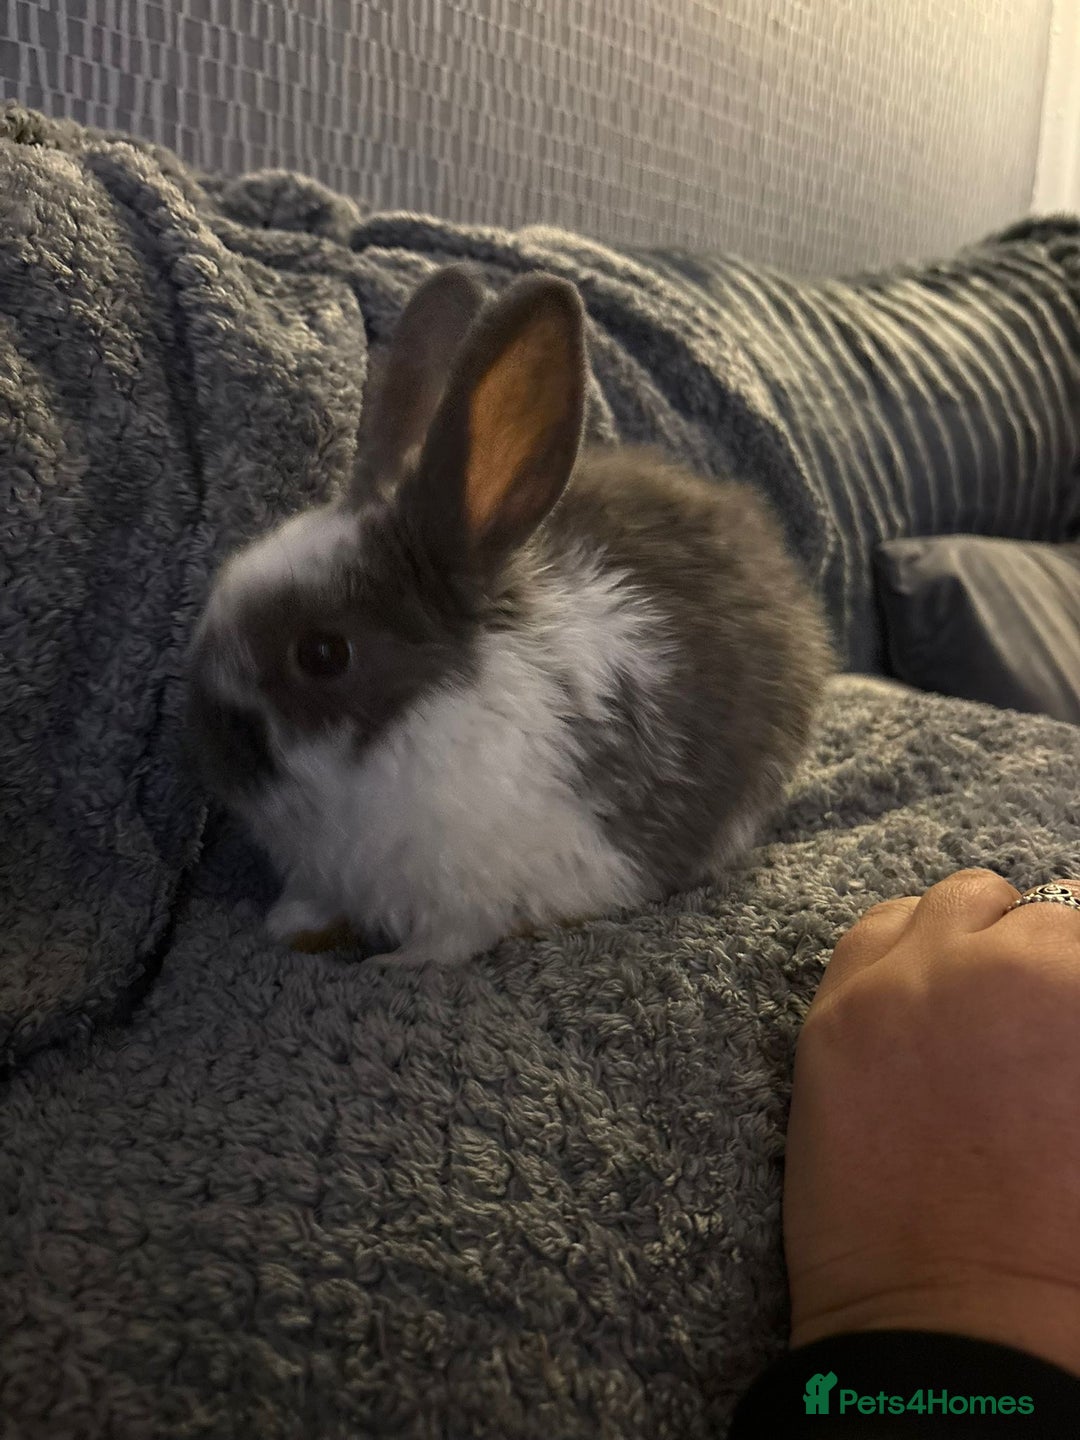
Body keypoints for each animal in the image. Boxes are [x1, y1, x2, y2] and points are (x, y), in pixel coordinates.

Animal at [188, 265, 835, 967]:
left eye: (323, 654)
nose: (209, 751)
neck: (413, 723)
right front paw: (288, 927)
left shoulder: (475, 897)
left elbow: (444, 944)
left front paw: (395, 964)